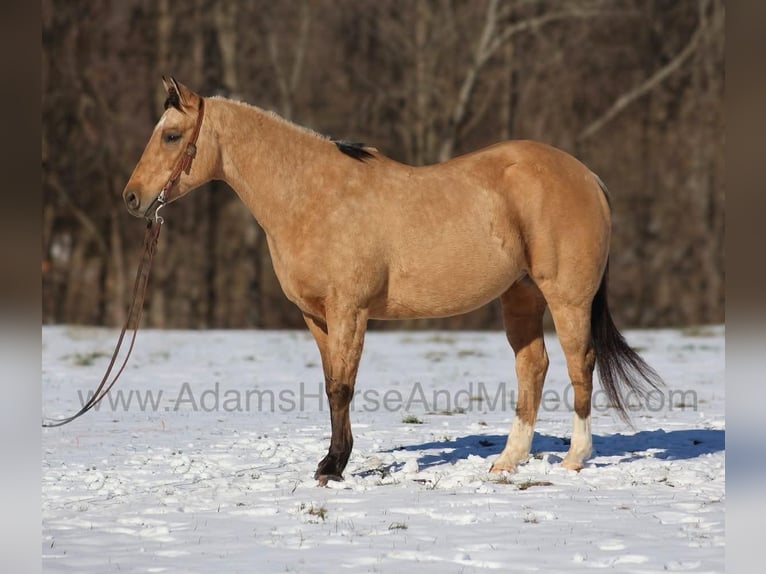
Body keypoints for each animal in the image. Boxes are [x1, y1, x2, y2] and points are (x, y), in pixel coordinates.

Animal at [123, 77, 661, 484]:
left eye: (171, 136)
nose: (132, 198)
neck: (312, 195)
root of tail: (587, 176)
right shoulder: (316, 317)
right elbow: (330, 386)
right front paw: (332, 460)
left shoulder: (349, 311)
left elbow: (342, 388)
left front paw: (333, 467)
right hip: (521, 296)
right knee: (533, 367)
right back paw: (507, 461)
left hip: (567, 298)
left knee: (579, 363)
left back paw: (574, 459)